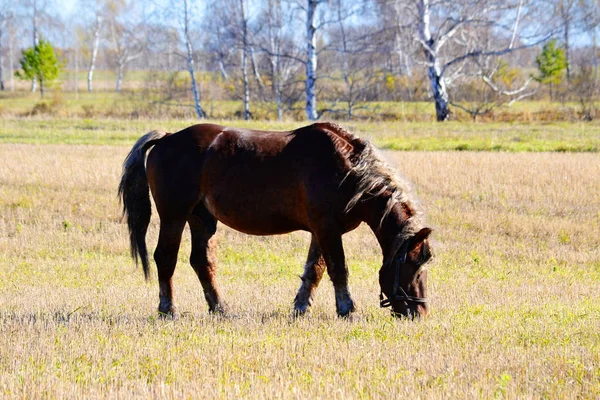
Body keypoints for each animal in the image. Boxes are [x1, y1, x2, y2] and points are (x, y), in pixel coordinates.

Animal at [118, 122, 432, 318]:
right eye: (414, 265)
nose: (419, 312)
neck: (350, 172)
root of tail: (168, 137)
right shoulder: (328, 229)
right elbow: (338, 269)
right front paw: (346, 309)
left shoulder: (321, 231)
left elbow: (314, 271)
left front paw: (301, 308)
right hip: (175, 215)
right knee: (165, 258)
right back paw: (167, 309)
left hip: (202, 219)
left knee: (202, 262)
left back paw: (220, 308)